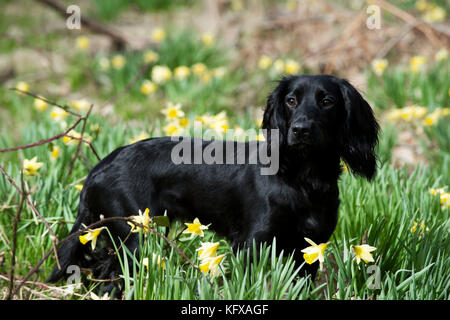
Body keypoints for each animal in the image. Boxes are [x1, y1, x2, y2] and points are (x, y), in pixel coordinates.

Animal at [47, 74, 380, 294]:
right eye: (291, 100)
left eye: (327, 101)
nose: (300, 129)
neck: (302, 178)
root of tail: (102, 165)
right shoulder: (252, 245)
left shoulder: (309, 249)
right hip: (133, 235)